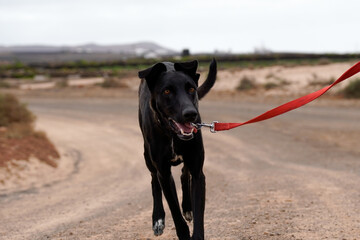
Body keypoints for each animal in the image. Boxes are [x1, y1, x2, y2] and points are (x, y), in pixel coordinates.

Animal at [138, 58, 217, 240]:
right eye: (167, 91)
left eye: (191, 89)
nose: (191, 114)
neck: (173, 135)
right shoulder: (164, 174)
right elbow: (175, 214)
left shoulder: (198, 172)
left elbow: (199, 214)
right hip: (147, 156)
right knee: (154, 180)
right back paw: (158, 218)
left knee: (183, 174)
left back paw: (187, 207)